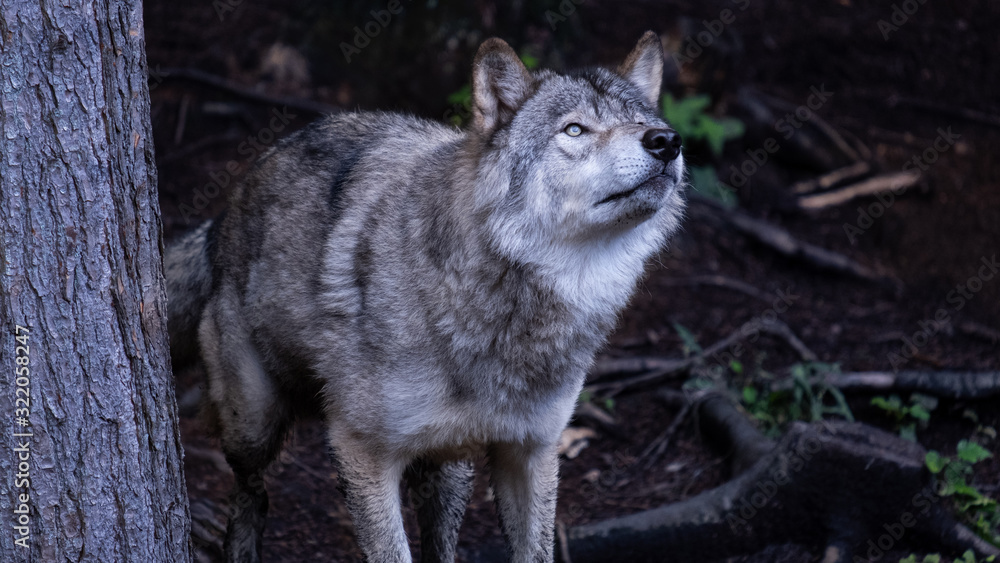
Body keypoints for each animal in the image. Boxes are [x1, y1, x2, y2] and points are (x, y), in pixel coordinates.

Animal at [165, 31, 685, 563]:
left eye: (642, 121)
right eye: (575, 130)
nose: (666, 141)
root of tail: (226, 212)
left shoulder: (531, 452)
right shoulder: (362, 452)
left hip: (449, 466)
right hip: (253, 424)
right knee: (251, 492)